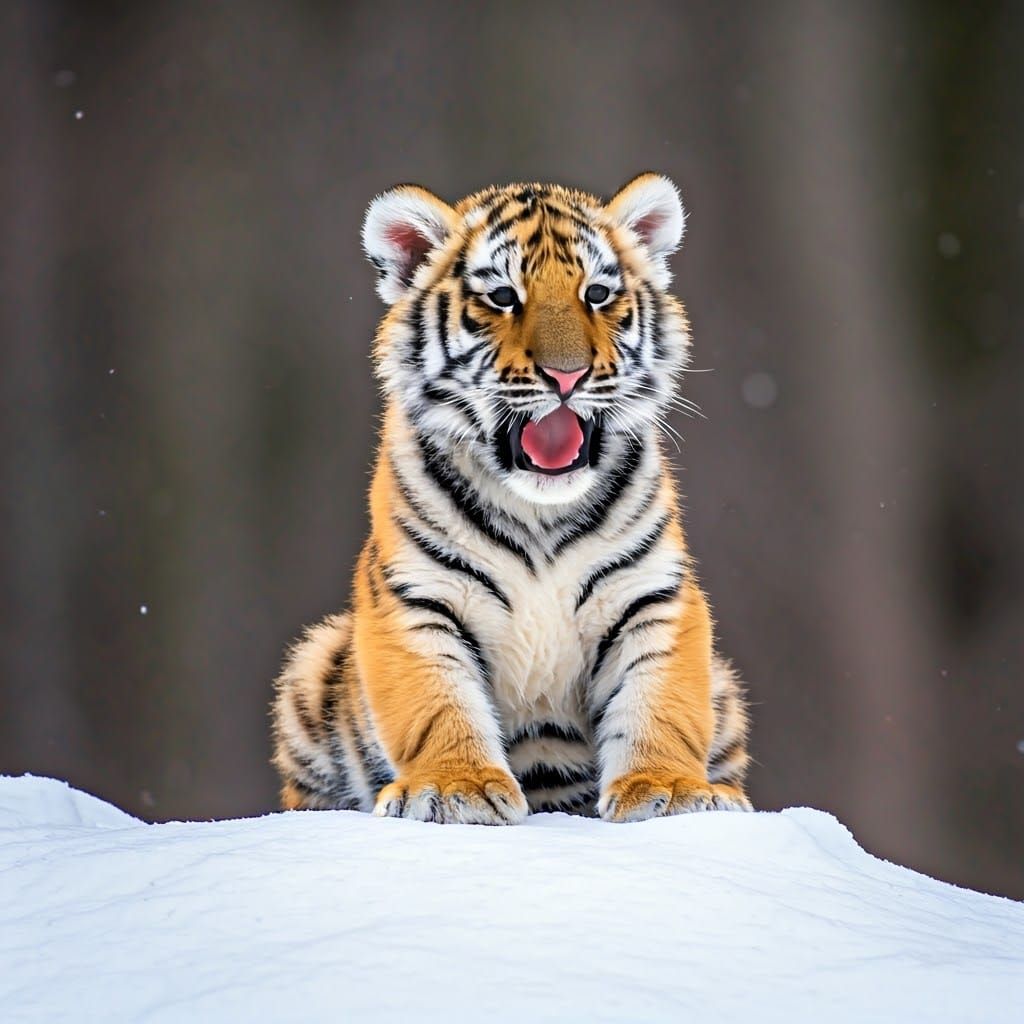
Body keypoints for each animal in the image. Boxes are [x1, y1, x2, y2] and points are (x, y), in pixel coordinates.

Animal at [271, 173, 752, 824]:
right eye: (502, 297)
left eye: (597, 293)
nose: (567, 376)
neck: (539, 513)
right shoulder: (415, 597)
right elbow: (436, 704)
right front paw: (455, 788)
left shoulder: (650, 595)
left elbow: (661, 702)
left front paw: (671, 789)